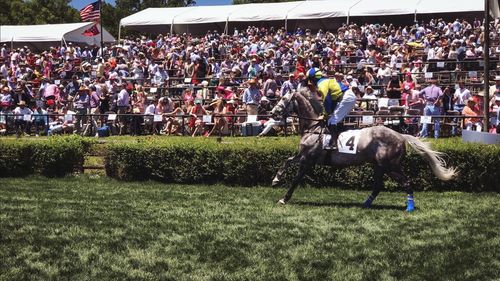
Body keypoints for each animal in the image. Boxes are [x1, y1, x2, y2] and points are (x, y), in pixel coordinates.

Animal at [270, 87, 458, 210]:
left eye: (283, 99)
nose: (272, 113)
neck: (313, 127)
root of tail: (401, 135)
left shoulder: (308, 160)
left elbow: (296, 179)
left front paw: (283, 199)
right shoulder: (302, 155)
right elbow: (286, 161)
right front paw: (275, 180)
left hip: (391, 166)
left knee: (406, 181)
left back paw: (409, 207)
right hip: (379, 166)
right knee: (378, 186)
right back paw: (366, 204)